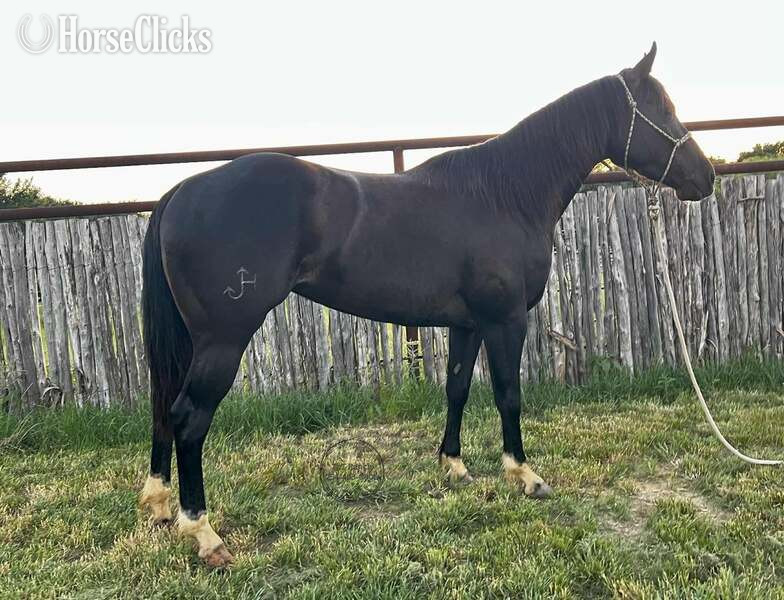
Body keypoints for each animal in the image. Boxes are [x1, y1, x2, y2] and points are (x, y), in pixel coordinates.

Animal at [139, 42, 715, 567]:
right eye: (663, 110)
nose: (705, 177)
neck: (506, 195)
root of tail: (181, 190)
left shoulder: (468, 325)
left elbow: (457, 388)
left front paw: (454, 465)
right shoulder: (505, 321)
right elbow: (508, 394)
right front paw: (525, 475)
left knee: (164, 408)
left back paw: (161, 504)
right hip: (223, 339)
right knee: (188, 417)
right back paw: (204, 533)